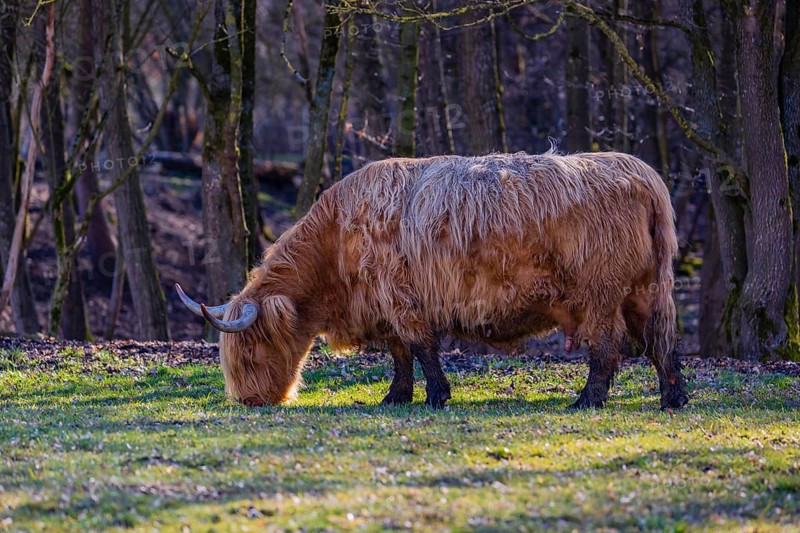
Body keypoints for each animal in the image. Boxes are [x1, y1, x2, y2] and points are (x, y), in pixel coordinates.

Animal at [177, 151, 689, 410]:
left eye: (250, 352)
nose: (249, 401)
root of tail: (645, 176)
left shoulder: (400, 298)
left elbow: (421, 349)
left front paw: (436, 396)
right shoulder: (388, 306)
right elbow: (401, 355)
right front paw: (396, 397)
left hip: (599, 293)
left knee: (608, 345)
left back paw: (587, 399)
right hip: (648, 286)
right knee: (662, 339)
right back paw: (673, 398)